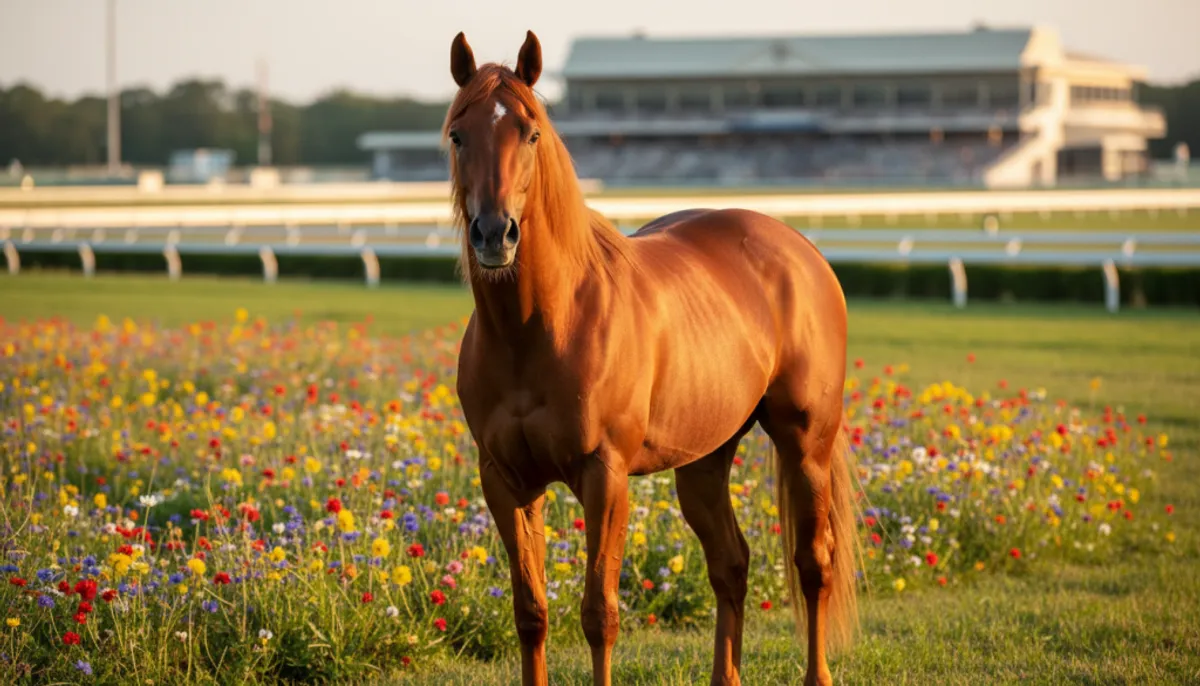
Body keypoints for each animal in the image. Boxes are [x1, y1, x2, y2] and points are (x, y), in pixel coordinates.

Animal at [447, 31, 860, 686]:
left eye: (530, 133)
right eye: (459, 135)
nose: (494, 234)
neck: (538, 328)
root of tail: (800, 249)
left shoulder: (605, 475)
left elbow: (599, 613)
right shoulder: (505, 480)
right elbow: (531, 613)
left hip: (806, 443)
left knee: (813, 563)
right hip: (704, 460)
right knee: (731, 564)